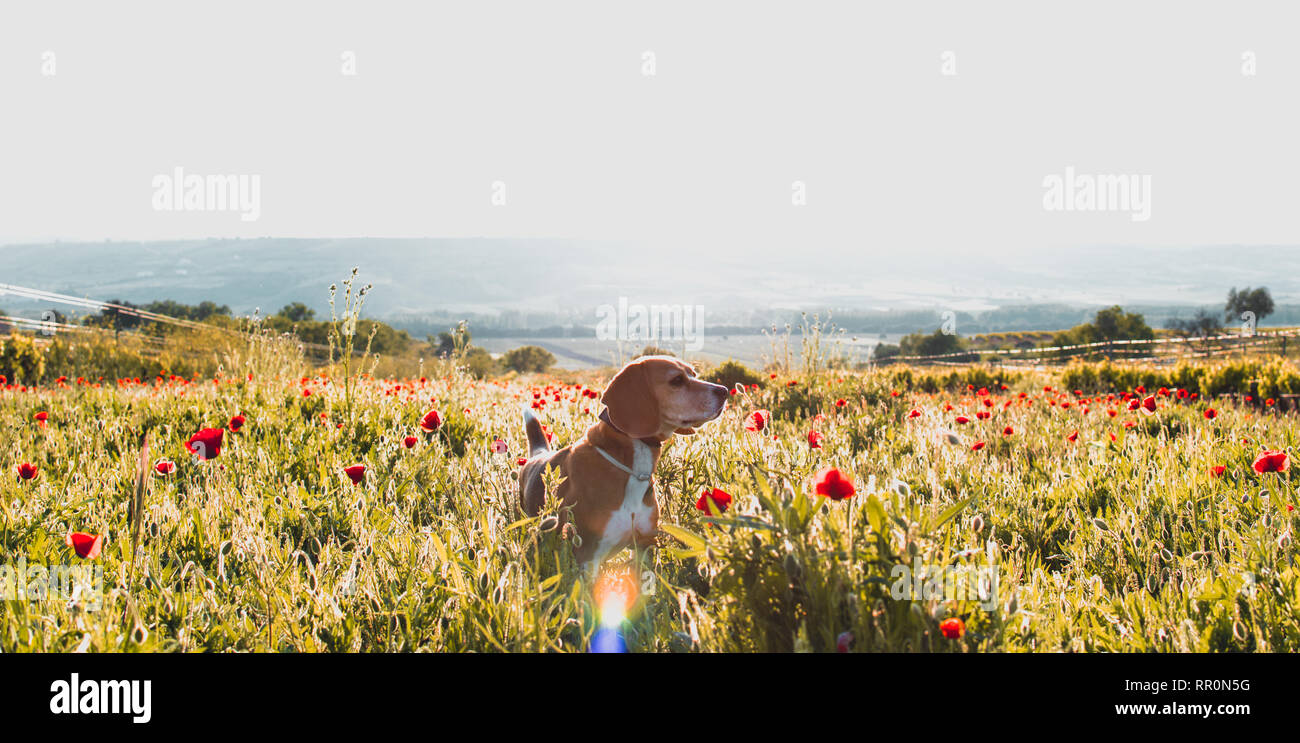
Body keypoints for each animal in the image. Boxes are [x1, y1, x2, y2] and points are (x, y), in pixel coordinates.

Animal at [517, 355, 728, 571]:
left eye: (694, 374)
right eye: (676, 380)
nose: (725, 391)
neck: (631, 467)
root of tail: (539, 454)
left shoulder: (645, 545)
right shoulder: (587, 557)